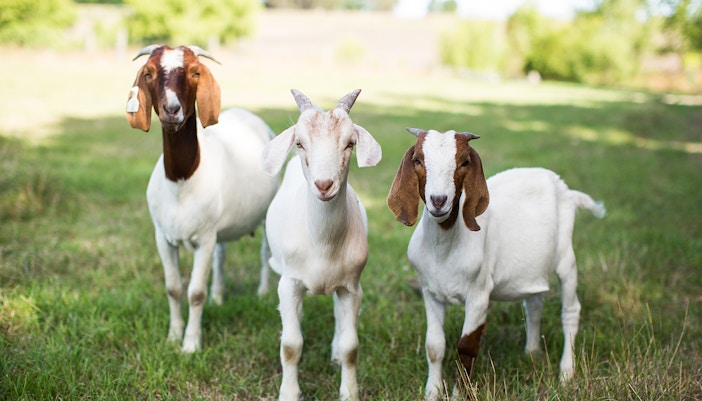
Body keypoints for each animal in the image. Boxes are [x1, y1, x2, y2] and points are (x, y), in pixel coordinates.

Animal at [126, 45, 278, 353]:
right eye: (149, 73)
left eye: (195, 72)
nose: (172, 110)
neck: (182, 181)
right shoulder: (163, 236)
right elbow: (173, 288)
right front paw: (173, 336)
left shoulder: (204, 240)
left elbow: (195, 293)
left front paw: (191, 344)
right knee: (222, 253)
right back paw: (219, 296)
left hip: (267, 210)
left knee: (265, 252)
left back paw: (262, 293)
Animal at [261, 89, 382, 401]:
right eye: (300, 143)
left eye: (350, 143)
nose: (324, 184)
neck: (323, 244)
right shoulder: (289, 282)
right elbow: (291, 345)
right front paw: (289, 393)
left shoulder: (351, 287)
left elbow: (351, 347)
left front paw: (349, 392)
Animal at [387, 128, 605, 400]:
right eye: (417, 160)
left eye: (464, 162)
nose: (438, 200)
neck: (444, 248)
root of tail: (568, 191)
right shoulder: (430, 292)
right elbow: (434, 346)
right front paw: (432, 392)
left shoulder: (479, 295)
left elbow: (467, 347)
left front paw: (459, 394)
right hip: (533, 267)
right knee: (534, 303)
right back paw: (532, 353)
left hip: (566, 257)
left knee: (571, 310)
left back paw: (566, 372)